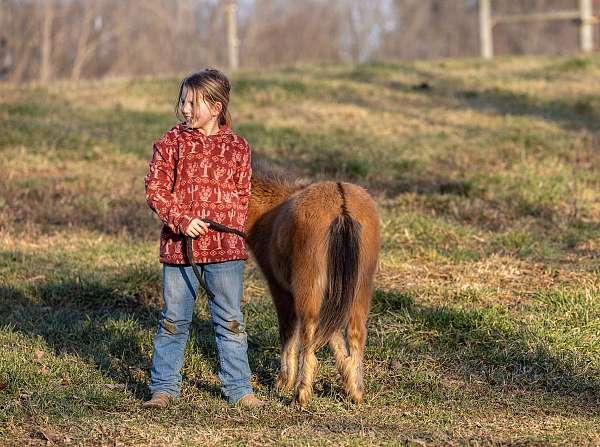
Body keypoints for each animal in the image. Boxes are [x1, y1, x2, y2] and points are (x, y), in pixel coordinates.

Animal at [245, 165, 380, 406]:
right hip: (360, 287)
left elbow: (288, 331)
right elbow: (333, 335)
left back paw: (301, 392)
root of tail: (341, 207)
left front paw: (284, 382)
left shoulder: (281, 290)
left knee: (308, 330)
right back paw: (356, 392)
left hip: (309, 288)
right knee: (355, 331)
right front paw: (347, 378)